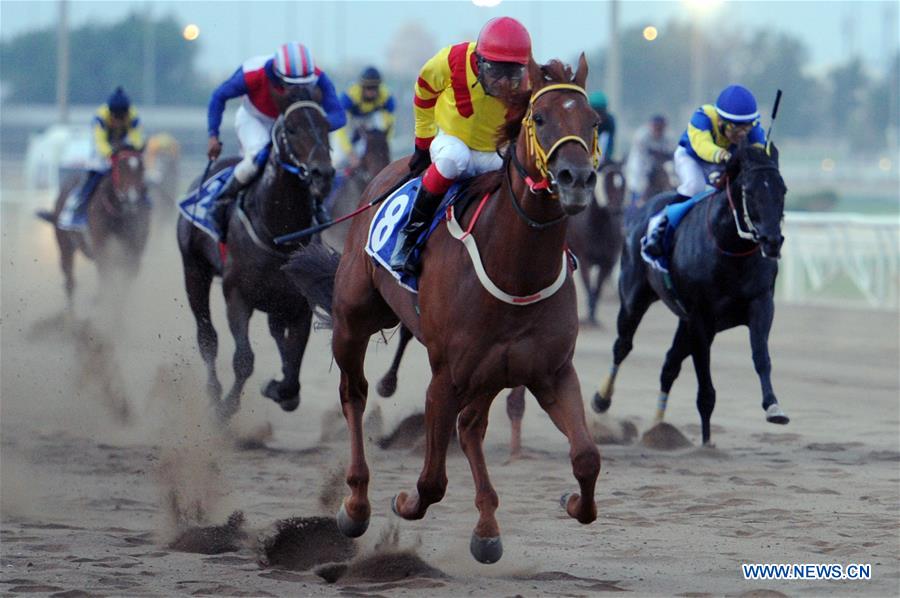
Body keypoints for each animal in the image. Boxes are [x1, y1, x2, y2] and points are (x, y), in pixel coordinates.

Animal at [38, 144, 150, 306]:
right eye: (120, 167)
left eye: (142, 167)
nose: (132, 198)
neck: (119, 216)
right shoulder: (102, 251)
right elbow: (107, 285)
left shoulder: (133, 255)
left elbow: (123, 290)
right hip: (65, 245)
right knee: (69, 281)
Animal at [176, 85, 335, 420]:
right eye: (291, 128)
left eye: (327, 125)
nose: (322, 174)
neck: (279, 234)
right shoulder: (237, 296)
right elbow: (244, 359)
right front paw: (225, 409)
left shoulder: (300, 304)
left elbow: (293, 368)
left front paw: (278, 390)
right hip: (194, 270)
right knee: (207, 337)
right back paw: (214, 392)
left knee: (276, 333)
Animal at [567, 161, 626, 325]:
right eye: (606, 182)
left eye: (623, 183)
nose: (617, 211)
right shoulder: (584, 259)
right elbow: (588, 287)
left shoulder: (607, 261)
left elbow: (597, 289)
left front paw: (593, 316)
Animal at [592, 142, 788, 445]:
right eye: (749, 191)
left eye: (782, 189)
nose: (772, 241)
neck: (729, 248)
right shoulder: (700, 318)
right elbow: (705, 388)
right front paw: (706, 444)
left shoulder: (760, 303)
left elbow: (760, 356)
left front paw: (773, 407)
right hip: (635, 299)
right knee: (622, 345)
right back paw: (602, 400)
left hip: (684, 322)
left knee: (669, 365)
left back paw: (658, 430)